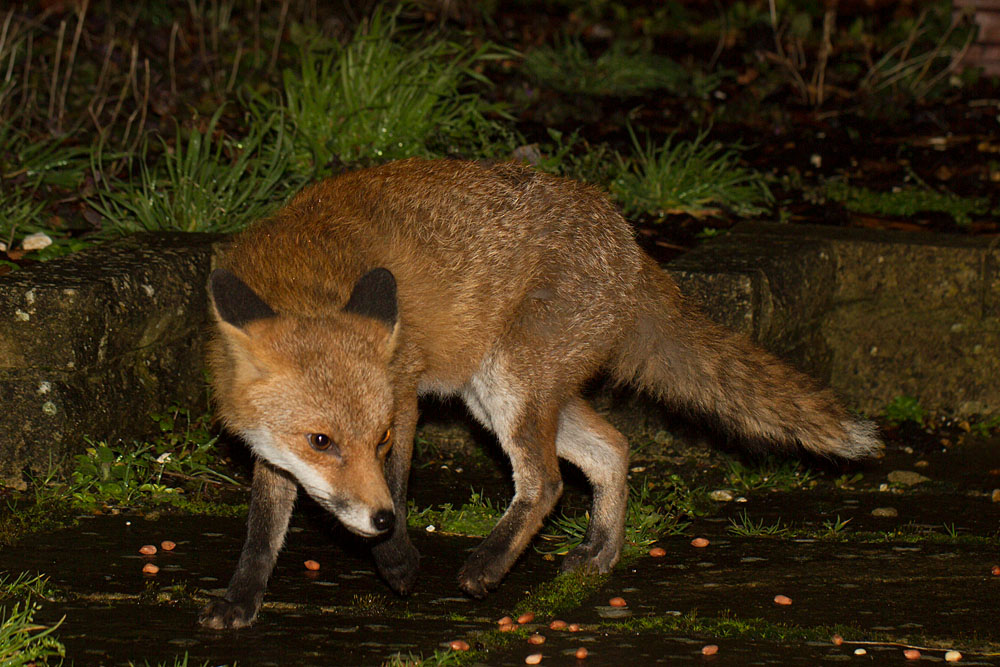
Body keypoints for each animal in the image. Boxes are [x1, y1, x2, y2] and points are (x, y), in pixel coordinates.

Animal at [198, 158, 881, 629]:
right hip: (503, 393)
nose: (383, 520)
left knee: (547, 482)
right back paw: (601, 555)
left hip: (510, 387)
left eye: (381, 437)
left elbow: (394, 477)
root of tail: (632, 243)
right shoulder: (273, 453)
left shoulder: (405, 394)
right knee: (614, 448)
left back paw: (488, 565)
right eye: (320, 441)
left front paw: (398, 562)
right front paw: (240, 601)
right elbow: (261, 531)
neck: (305, 278)